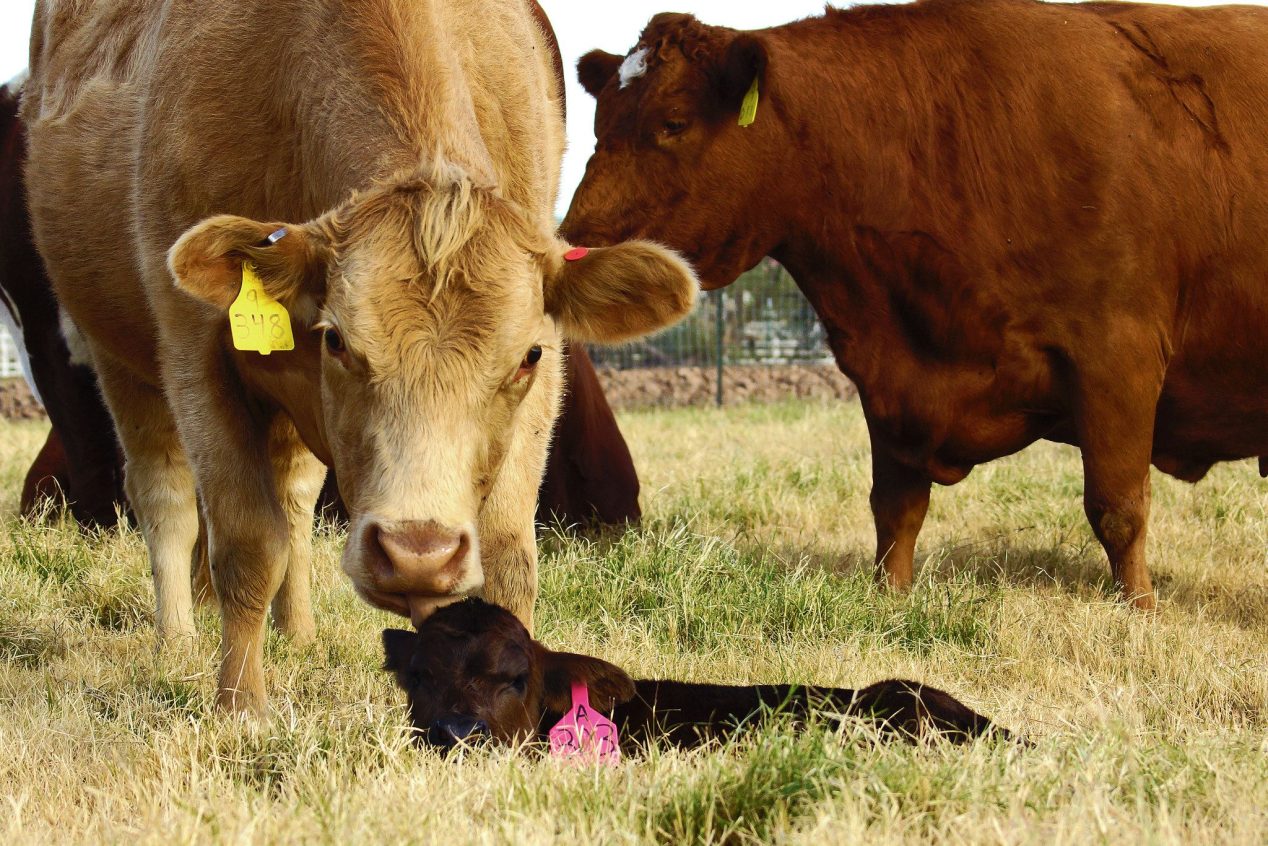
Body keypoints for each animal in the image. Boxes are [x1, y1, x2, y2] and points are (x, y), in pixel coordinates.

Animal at [22, 0, 694, 715]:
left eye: (527, 356)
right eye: (338, 339)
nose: (419, 553)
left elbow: (509, 556)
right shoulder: (194, 346)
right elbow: (246, 542)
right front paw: (241, 703)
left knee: (292, 501)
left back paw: (299, 633)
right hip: (119, 358)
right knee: (167, 500)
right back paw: (175, 641)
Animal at [565, 0, 1268, 608]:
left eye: (673, 122)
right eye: (599, 125)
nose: (573, 240)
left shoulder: (1117, 357)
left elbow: (1117, 507)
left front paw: (1139, 608)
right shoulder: (890, 376)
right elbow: (895, 506)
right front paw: (890, 594)